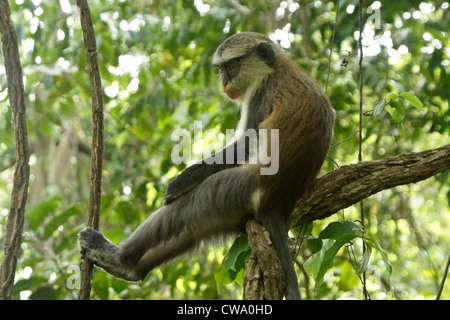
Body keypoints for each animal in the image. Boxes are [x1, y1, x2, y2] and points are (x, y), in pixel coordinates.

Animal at [79, 32, 336, 300]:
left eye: (232, 67)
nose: (224, 83)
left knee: (191, 205)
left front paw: (184, 179)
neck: (276, 68)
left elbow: (247, 142)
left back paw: (122, 258)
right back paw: (130, 269)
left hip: (239, 189)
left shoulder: (261, 93)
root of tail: (278, 204)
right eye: (221, 69)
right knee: (193, 226)